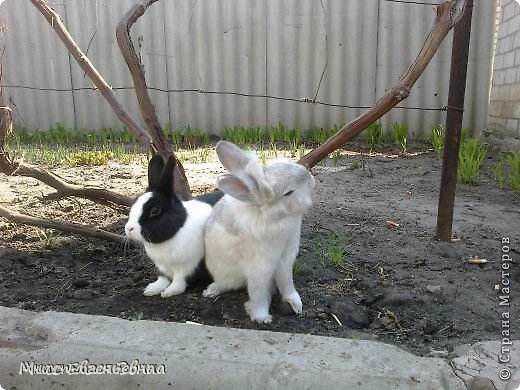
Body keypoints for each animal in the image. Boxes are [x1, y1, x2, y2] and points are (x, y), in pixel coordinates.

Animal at [126, 154, 223, 298]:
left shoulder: (187, 266)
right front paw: (151, 289)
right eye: (134, 203)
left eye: (155, 211)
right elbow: (163, 278)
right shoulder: (162, 267)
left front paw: (170, 291)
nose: (129, 228)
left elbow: (179, 279)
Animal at [203, 140, 314, 322]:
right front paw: (261, 317)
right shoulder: (260, 266)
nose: (311, 178)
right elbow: (258, 292)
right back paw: (211, 291)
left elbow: (287, 283)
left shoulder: (285, 259)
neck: (276, 217)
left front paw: (296, 305)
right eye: (288, 192)